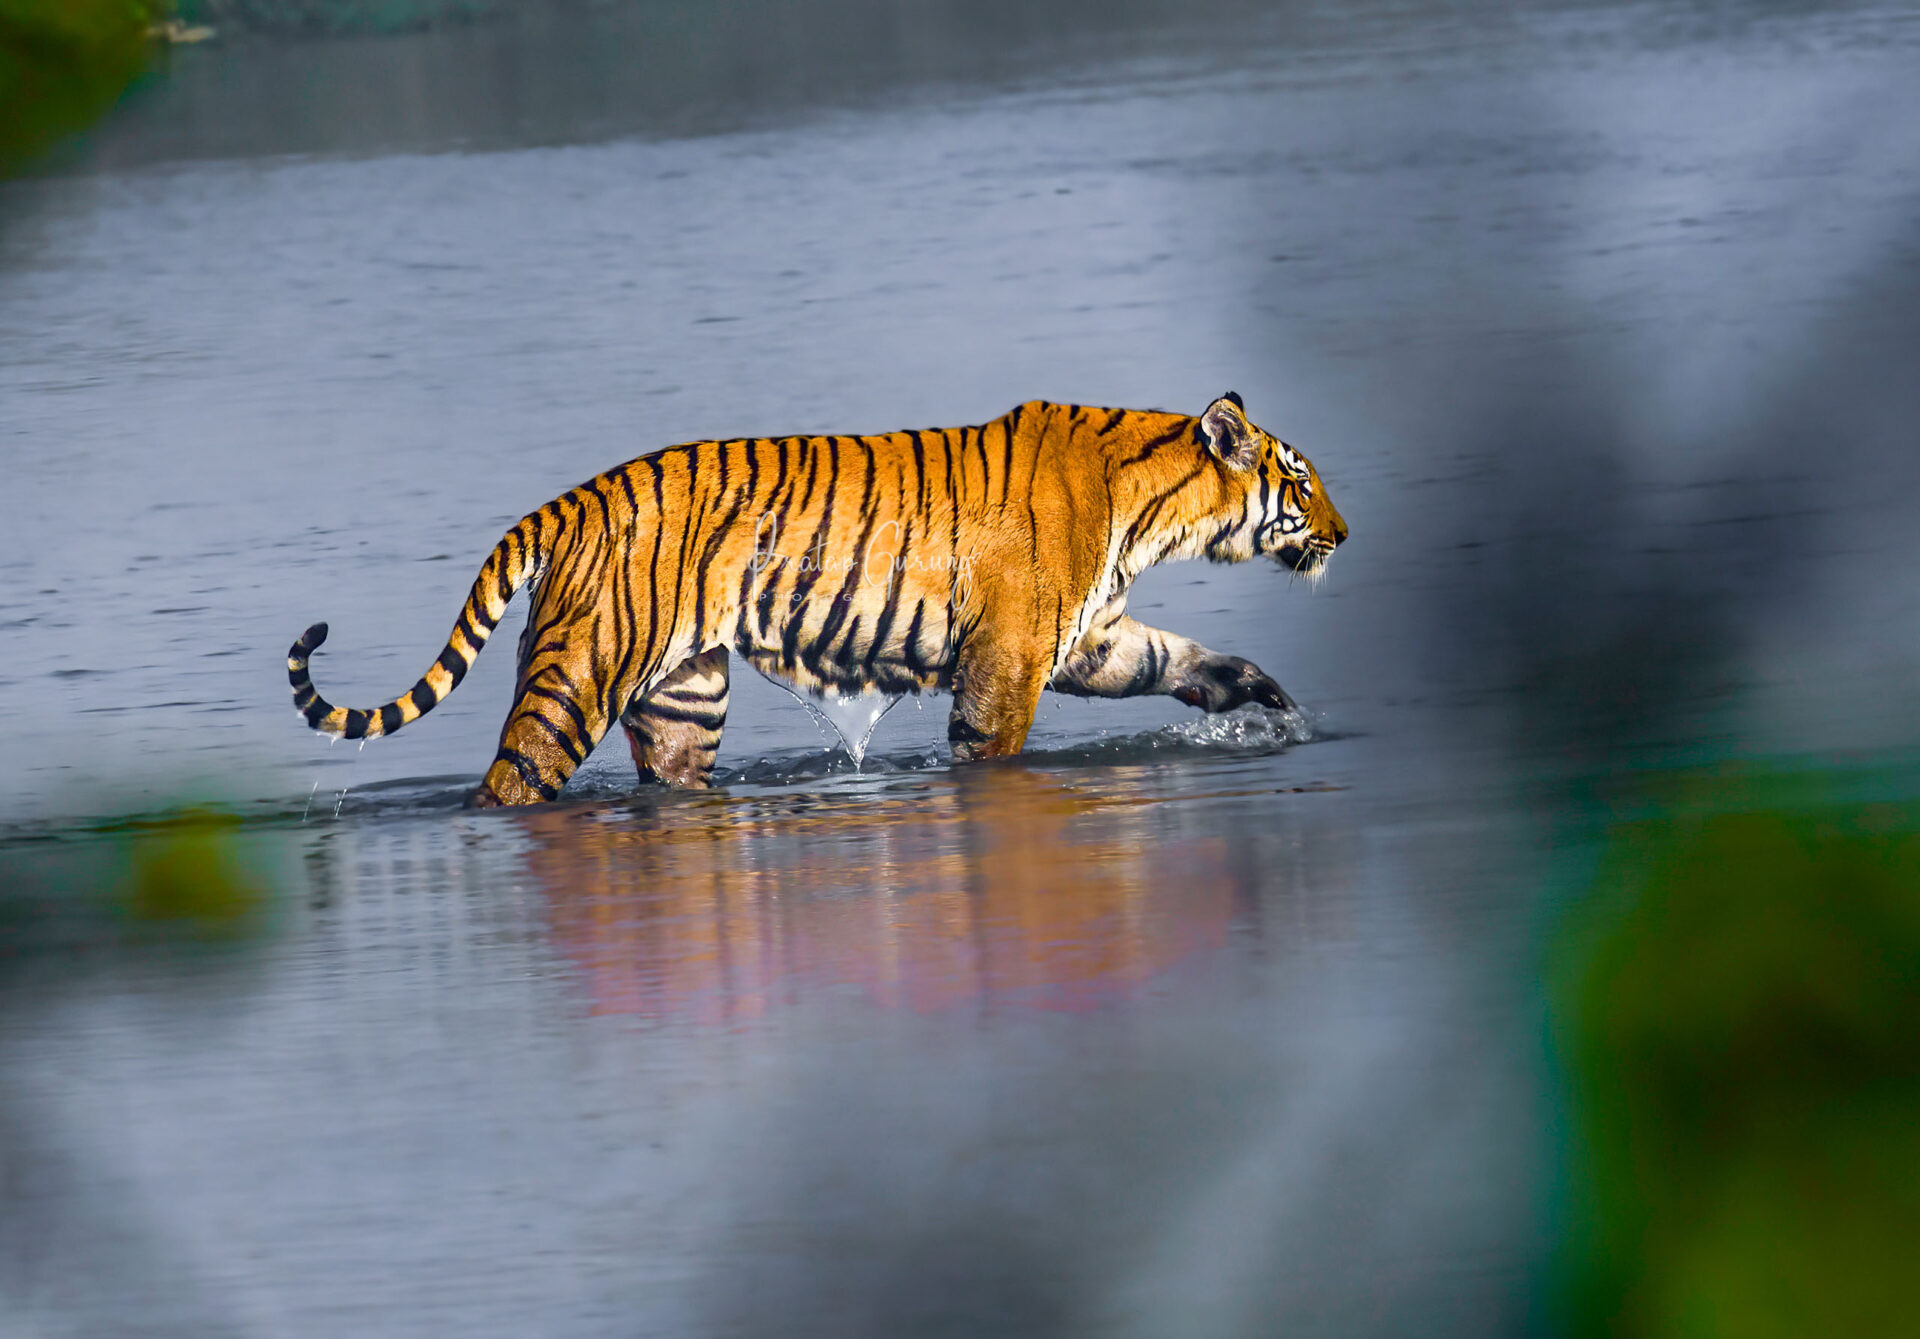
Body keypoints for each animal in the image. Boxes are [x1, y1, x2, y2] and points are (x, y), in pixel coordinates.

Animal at [287, 393, 1348, 807]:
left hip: (684, 703)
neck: (1152, 508)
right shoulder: (1006, 665)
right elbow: (993, 756)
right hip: (573, 685)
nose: (1343, 534)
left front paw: (1267, 698)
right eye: (1301, 482)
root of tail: (570, 499)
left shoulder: (1089, 639)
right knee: (507, 786)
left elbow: (1182, 657)